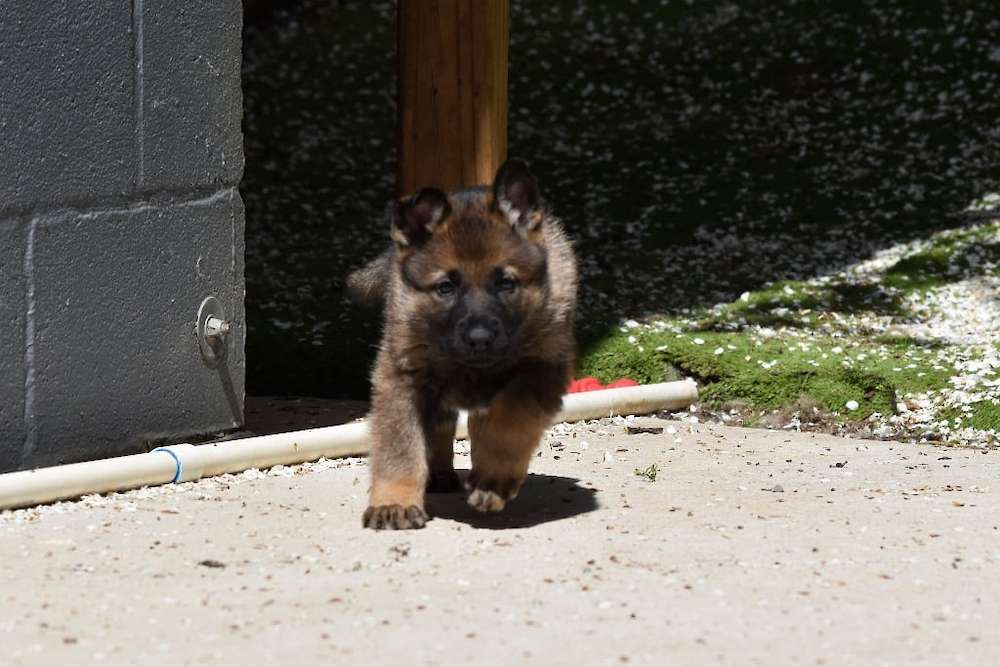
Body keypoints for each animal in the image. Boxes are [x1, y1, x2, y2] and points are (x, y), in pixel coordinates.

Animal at [346, 159, 576, 528]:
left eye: (506, 283)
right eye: (445, 287)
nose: (480, 339)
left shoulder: (543, 367)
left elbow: (511, 418)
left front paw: (494, 478)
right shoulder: (400, 377)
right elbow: (400, 446)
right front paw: (394, 502)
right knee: (438, 429)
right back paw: (438, 474)